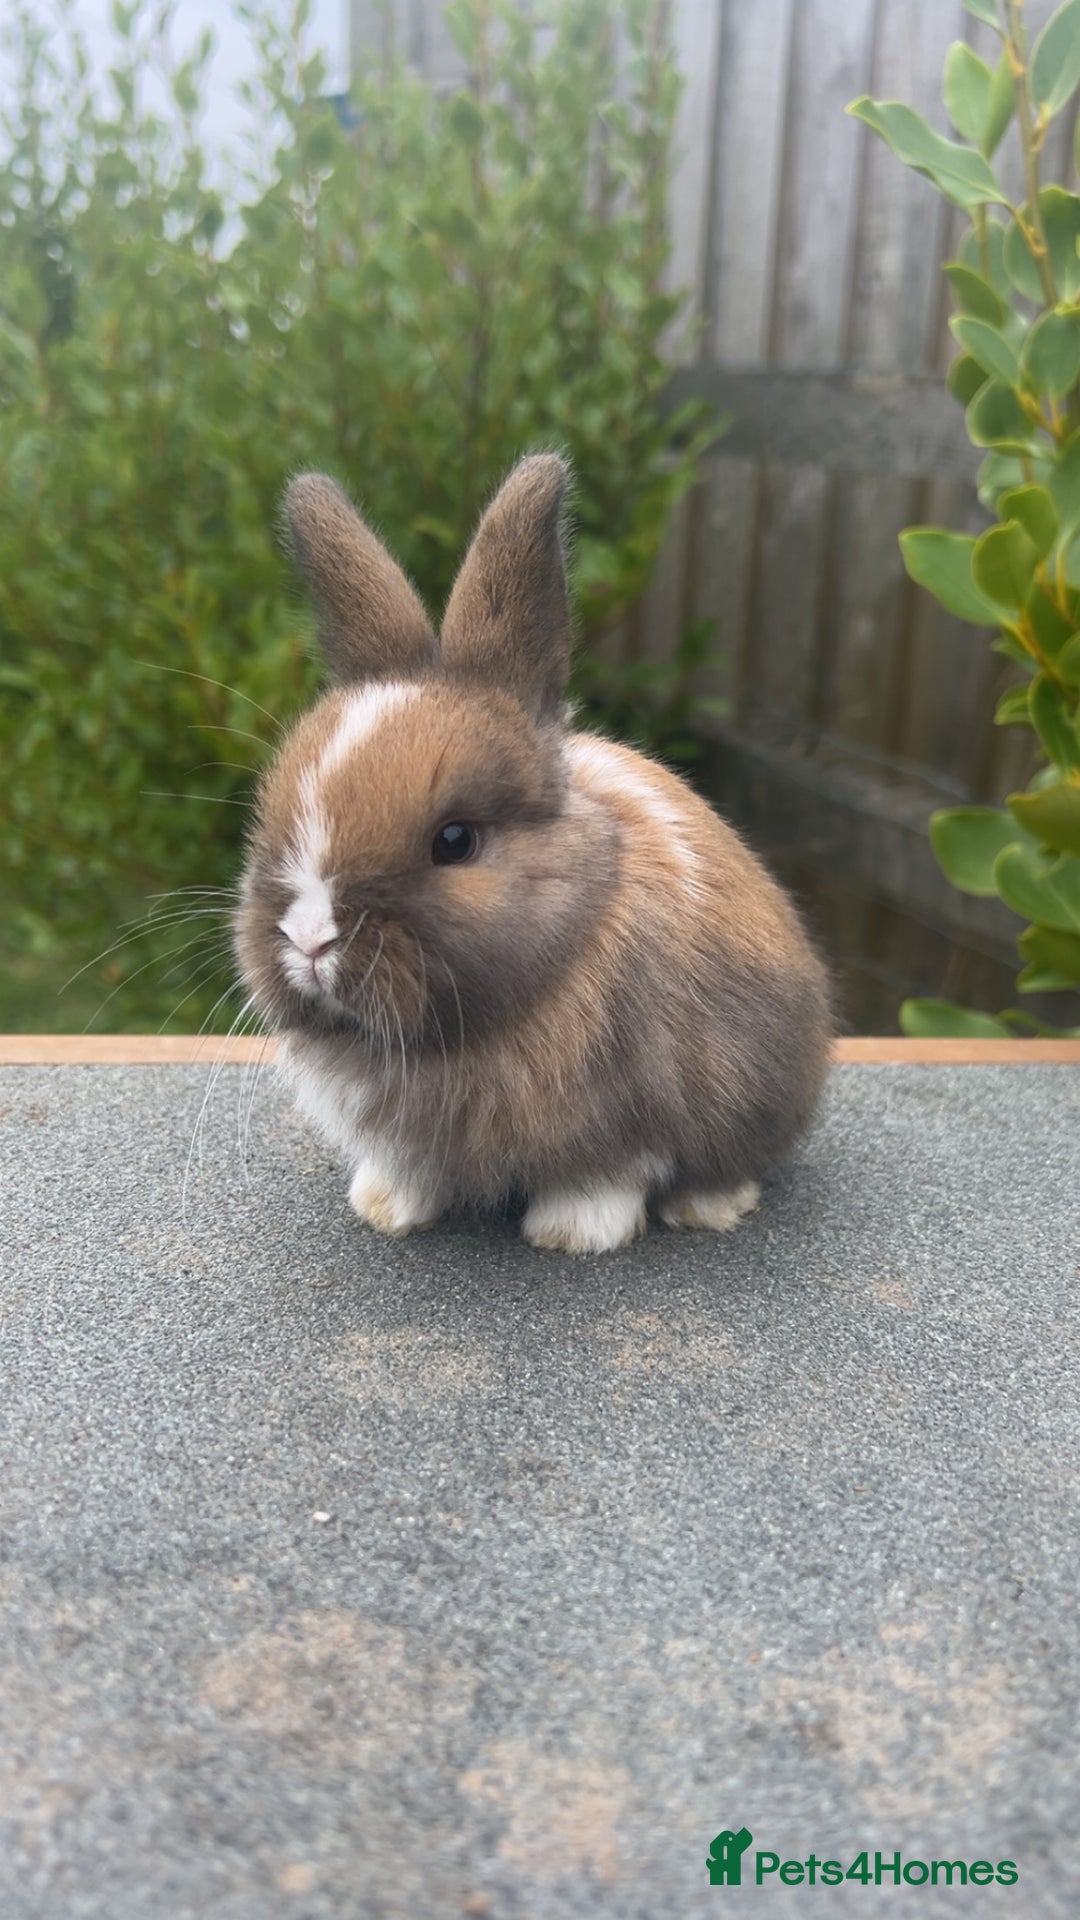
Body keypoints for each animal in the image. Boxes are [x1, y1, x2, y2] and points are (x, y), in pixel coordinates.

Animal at [233, 454, 832, 1253]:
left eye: (455, 840)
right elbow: (412, 1171)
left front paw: (572, 1235)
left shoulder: (628, 1117)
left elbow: (604, 1175)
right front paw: (384, 1209)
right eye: (268, 814)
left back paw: (707, 1207)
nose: (309, 938)